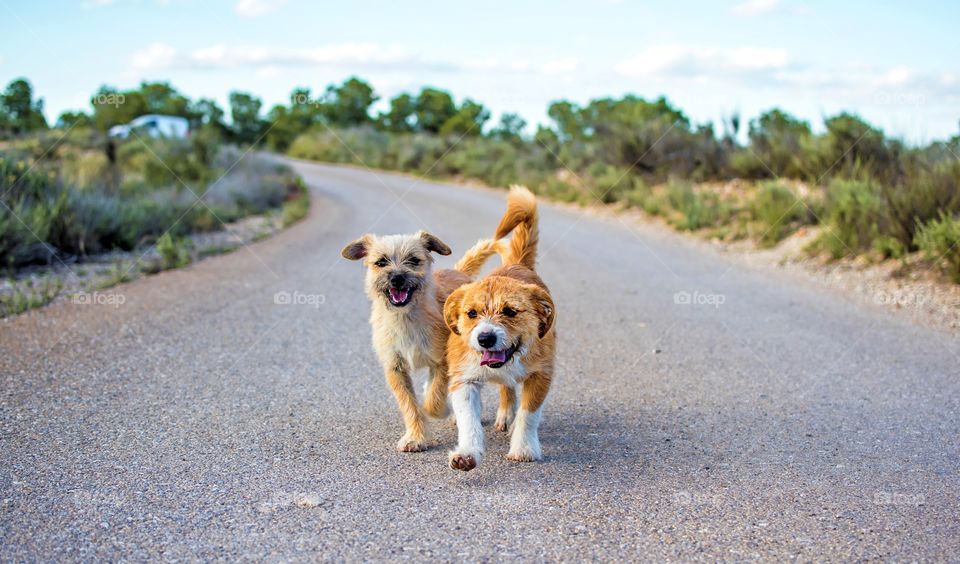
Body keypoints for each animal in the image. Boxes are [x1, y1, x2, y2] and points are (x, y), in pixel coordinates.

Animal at [342, 231, 498, 452]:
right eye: (381, 262)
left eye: (414, 260)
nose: (397, 278)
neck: (405, 318)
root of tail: (458, 272)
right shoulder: (395, 369)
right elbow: (409, 405)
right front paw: (415, 437)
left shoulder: (442, 363)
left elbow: (433, 399)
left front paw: (440, 410)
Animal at [442, 186, 556, 472]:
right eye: (472, 313)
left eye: (510, 311)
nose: (485, 338)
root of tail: (517, 264)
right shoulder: (464, 379)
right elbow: (469, 421)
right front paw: (467, 453)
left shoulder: (541, 375)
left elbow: (529, 414)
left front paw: (523, 448)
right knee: (506, 387)